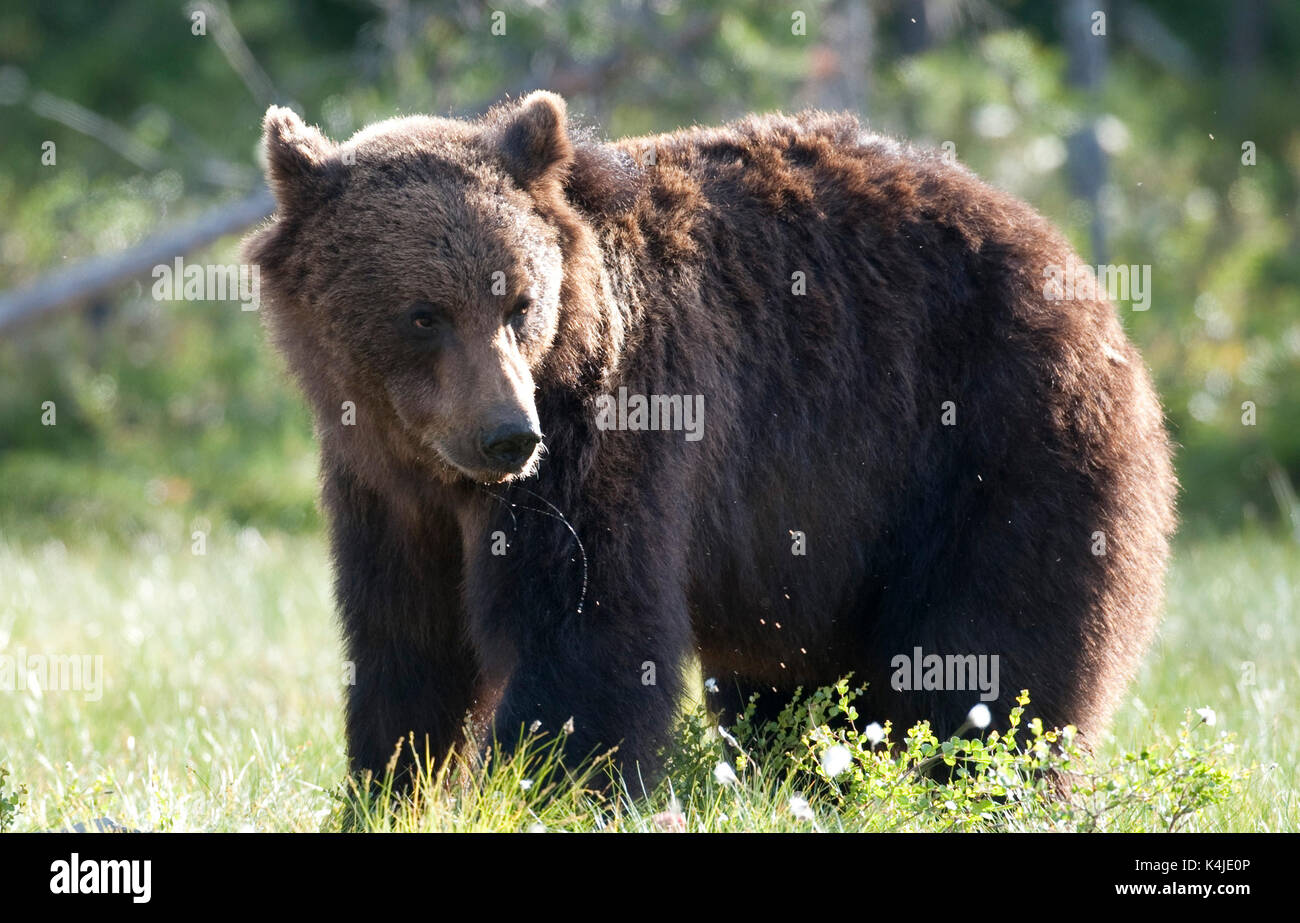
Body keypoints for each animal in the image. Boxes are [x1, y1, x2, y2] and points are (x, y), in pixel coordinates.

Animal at [244, 90, 1180, 785]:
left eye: (519, 302)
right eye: (424, 313)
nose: (509, 435)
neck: (433, 466)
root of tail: (1078, 274)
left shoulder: (611, 437)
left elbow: (587, 632)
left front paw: (538, 782)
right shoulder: (382, 492)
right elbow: (408, 646)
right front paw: (387, 783)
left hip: (993, 443)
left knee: (988, 654)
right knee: (796, 684)